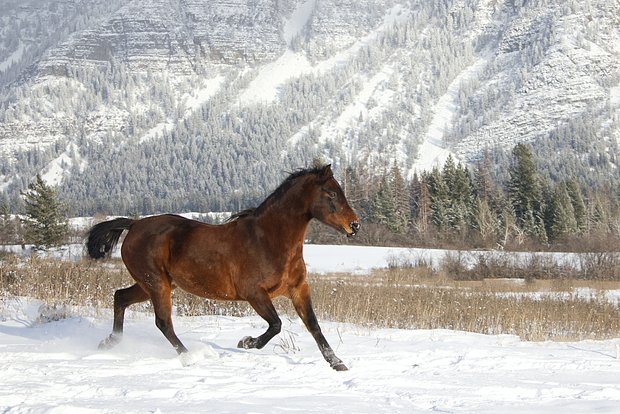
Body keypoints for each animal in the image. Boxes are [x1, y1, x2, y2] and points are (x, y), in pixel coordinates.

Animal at [85, 165, 360, 372]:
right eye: (331, 194)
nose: (355, 225)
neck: (269, 240)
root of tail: (134, 225)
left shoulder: (298, 289)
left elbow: (314, 326)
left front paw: (337, 363)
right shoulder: (254, 293)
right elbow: (276, 324)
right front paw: (246, 342)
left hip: (150, 284)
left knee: (120, 297)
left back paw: (110, 342)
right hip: (156, 283)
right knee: (163, 322)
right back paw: (189, 357)